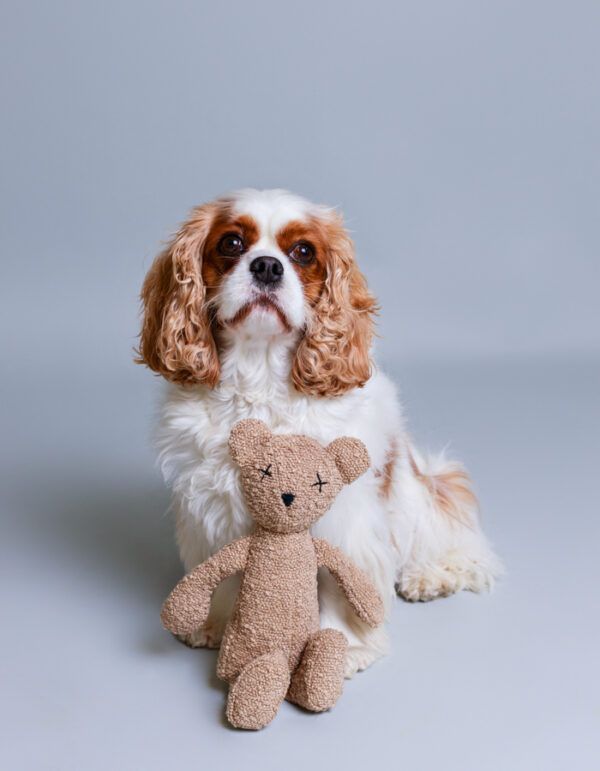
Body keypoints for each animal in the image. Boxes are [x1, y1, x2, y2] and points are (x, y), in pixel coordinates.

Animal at [137, 187, 502, 676]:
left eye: (303, 252)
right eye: (232, 243)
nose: (267, 266)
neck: (260, 373)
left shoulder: (341, 518)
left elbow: (337, 582)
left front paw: (343, 647)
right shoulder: (211, 504)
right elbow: (221, 570)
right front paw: (215, 624)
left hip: (418, 499)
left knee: (454, 541)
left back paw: (430, 574)